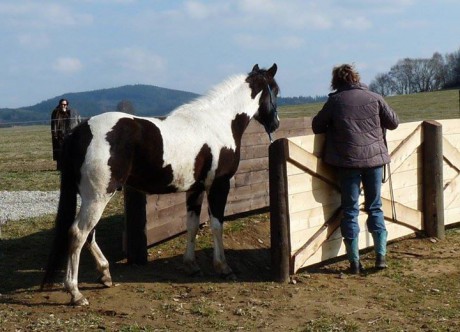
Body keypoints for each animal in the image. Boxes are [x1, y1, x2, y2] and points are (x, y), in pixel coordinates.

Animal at [42, 63, 280, 306]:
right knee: (78, 234)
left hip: (92, 196)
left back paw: (105, 274)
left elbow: (192, 225)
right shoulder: (218, 185)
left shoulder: (195, 189)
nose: (276, 123)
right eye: (275, 91)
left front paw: (191, 265)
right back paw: (75, 292)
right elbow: (216, 225)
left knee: (89, 235)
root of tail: (79, 131)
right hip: (98, 197)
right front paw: (223, 267)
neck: (217, 122)